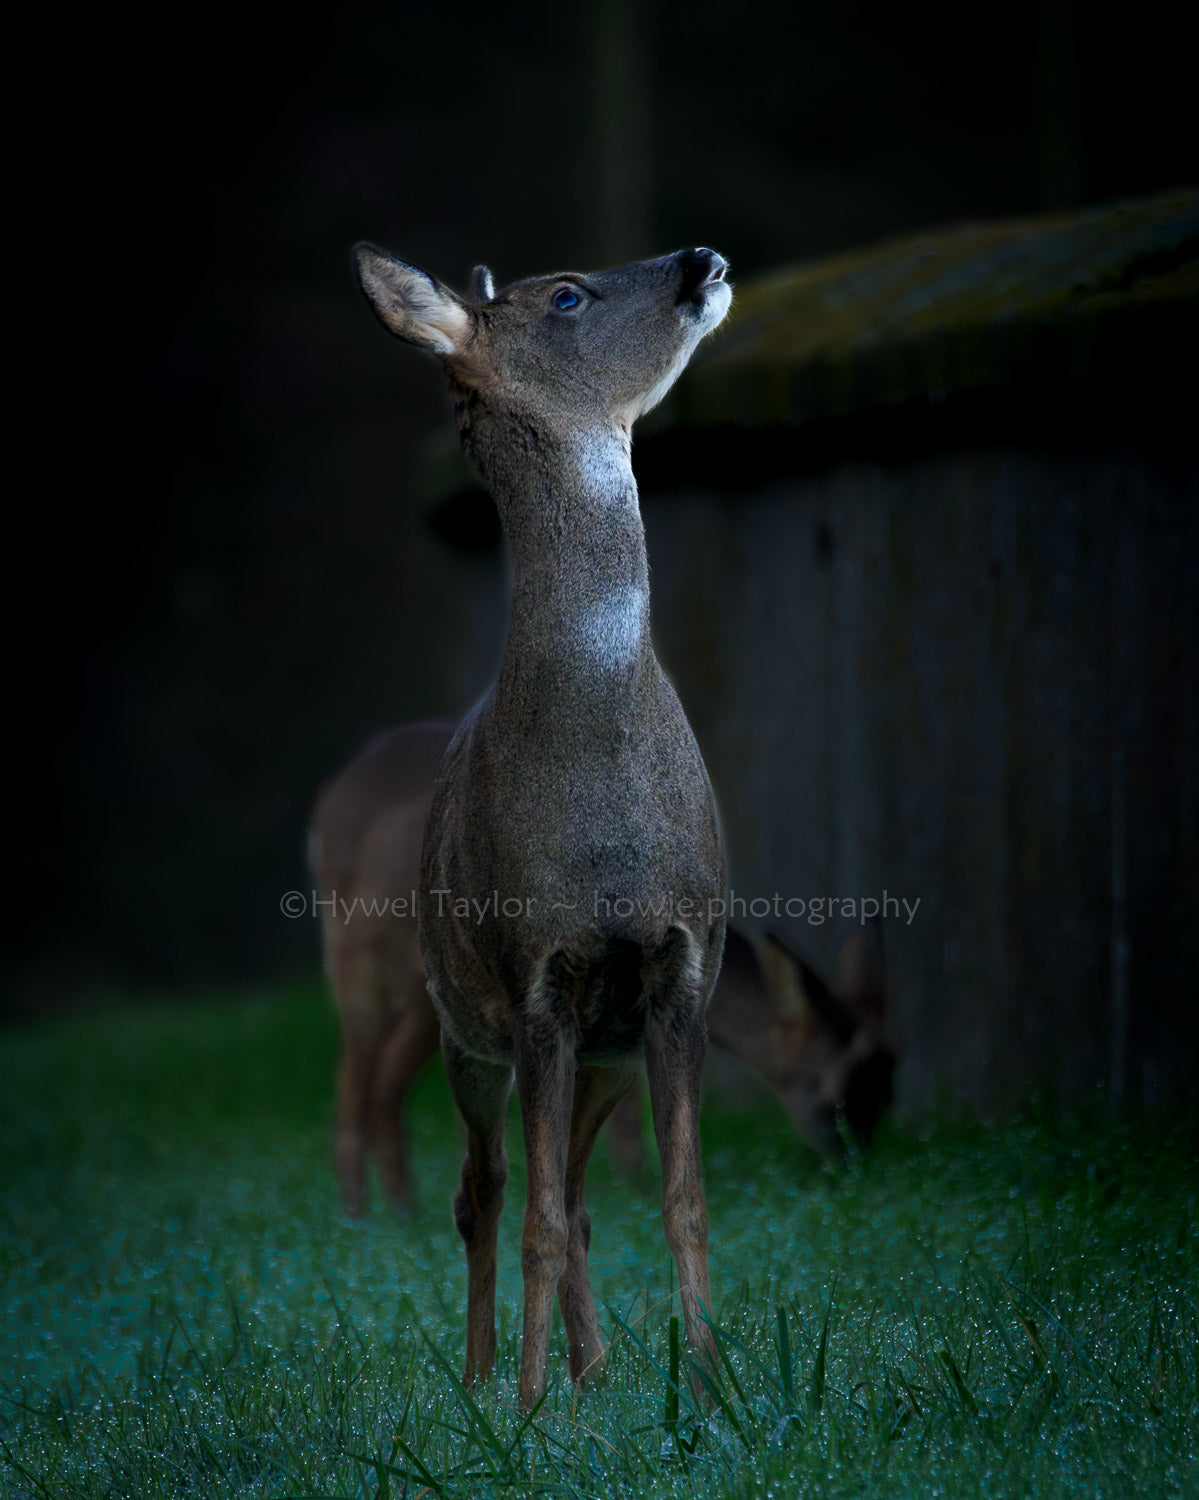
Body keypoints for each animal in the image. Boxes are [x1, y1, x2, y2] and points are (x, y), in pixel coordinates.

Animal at [311, 720, 896, 1213]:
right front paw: (626, 1190)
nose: (855, 1167)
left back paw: (402, 1210)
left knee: (384, 1083)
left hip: (421, 997)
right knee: (353, 1078)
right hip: (356, 960)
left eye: (887, 1086)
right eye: (830, 1088)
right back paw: (361, 1213)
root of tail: (334, 790)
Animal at [349, 243, 733, 1410]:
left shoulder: (682, 966)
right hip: (461, 1029)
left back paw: (595, 1371)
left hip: (603, 1054)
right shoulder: (534, 979)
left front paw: (716, 1388)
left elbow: (680, 1200)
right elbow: (534, 1220)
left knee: (577, 1192)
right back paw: (487, 1382)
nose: (701, 258)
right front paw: (523, 1410)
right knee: (484, 1191)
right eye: (566, 293)